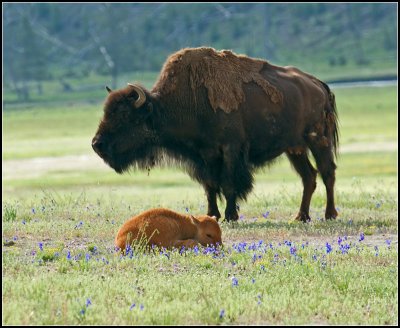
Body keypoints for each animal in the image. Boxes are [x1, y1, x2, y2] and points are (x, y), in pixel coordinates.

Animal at [92, 46, 340, 223]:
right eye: (106, 111)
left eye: (126, 116)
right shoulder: (206, 153)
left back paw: (329, 214)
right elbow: (210, 185)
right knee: (309, 176)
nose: (97, 144)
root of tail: (318, 84)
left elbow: (229, 183)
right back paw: (301, 216)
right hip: (295, 148)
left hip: (318, 140)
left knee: (327, 172)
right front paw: (212, 214)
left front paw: (231, 215)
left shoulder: (230, 149)